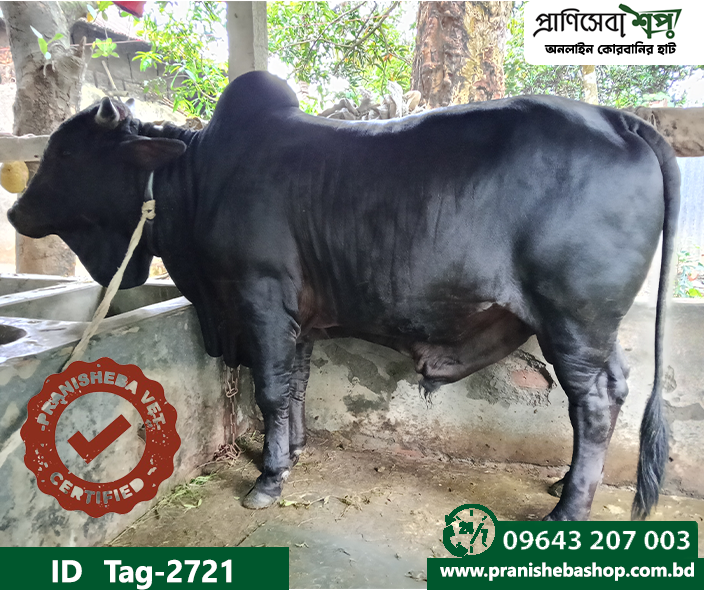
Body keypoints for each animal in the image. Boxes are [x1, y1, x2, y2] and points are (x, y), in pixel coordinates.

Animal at [8, 71, 679, 521]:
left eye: (66, 150)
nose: (14, 210)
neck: (193, 184)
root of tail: (618, 118)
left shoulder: (260, 298)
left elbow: (270, 388)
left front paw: (269, 478)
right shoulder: (298, 318)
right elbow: (295, 384)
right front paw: (295, 449)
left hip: (572, 317)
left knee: (592, 402)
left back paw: (569, 509)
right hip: (592, 327)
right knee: (615, 386)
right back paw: (564, 485)